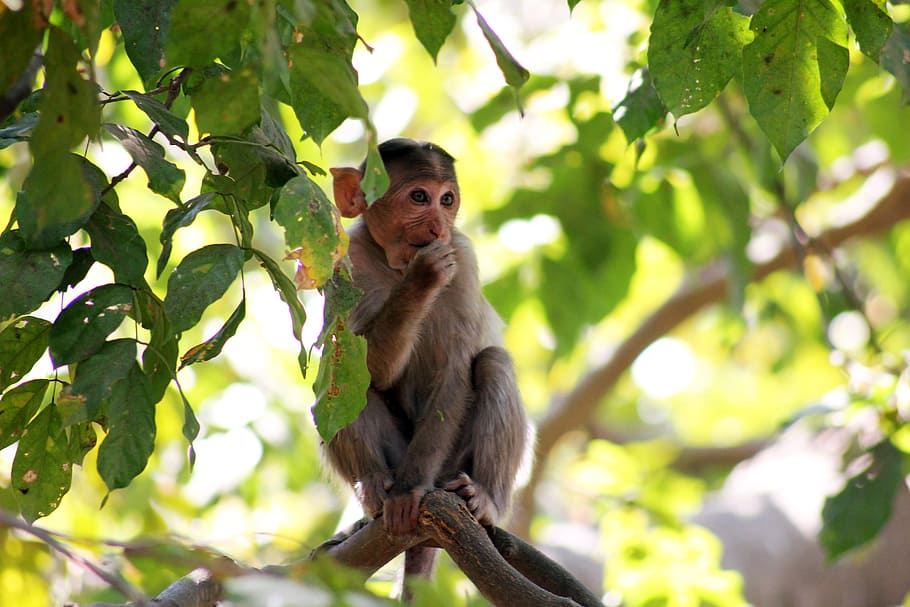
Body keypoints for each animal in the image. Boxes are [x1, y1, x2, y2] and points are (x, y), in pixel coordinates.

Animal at [325, 138, 528, 583]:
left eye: (447, 200)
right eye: (419, 197)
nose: (439, 227)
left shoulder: (463, 260)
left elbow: (455, 371)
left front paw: (410, 492)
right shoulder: (344, 263)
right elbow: (366, 369)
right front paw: (422, 281)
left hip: (450, 465)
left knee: (492, 363)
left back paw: (485, 498)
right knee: (337, 383)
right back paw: (373, 487)